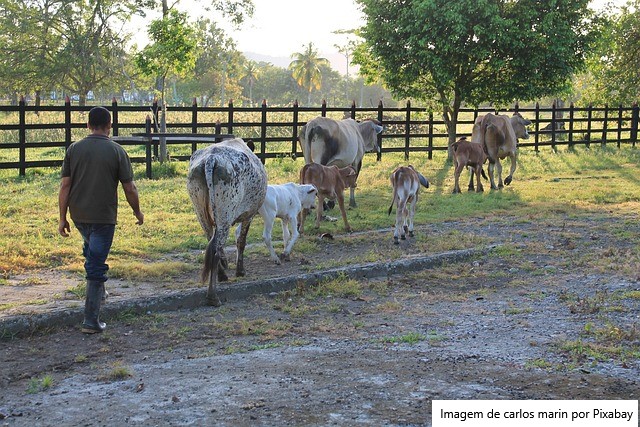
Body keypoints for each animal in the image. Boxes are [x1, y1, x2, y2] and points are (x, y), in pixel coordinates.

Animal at [187, 138, 267, 306]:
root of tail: (211, 158)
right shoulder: (249, 215)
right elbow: (241, 242)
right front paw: (240, 271)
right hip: (224, 216)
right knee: (215, 250)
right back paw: (213, 296)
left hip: (202, 214)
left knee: (212, 243)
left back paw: (221, 275)